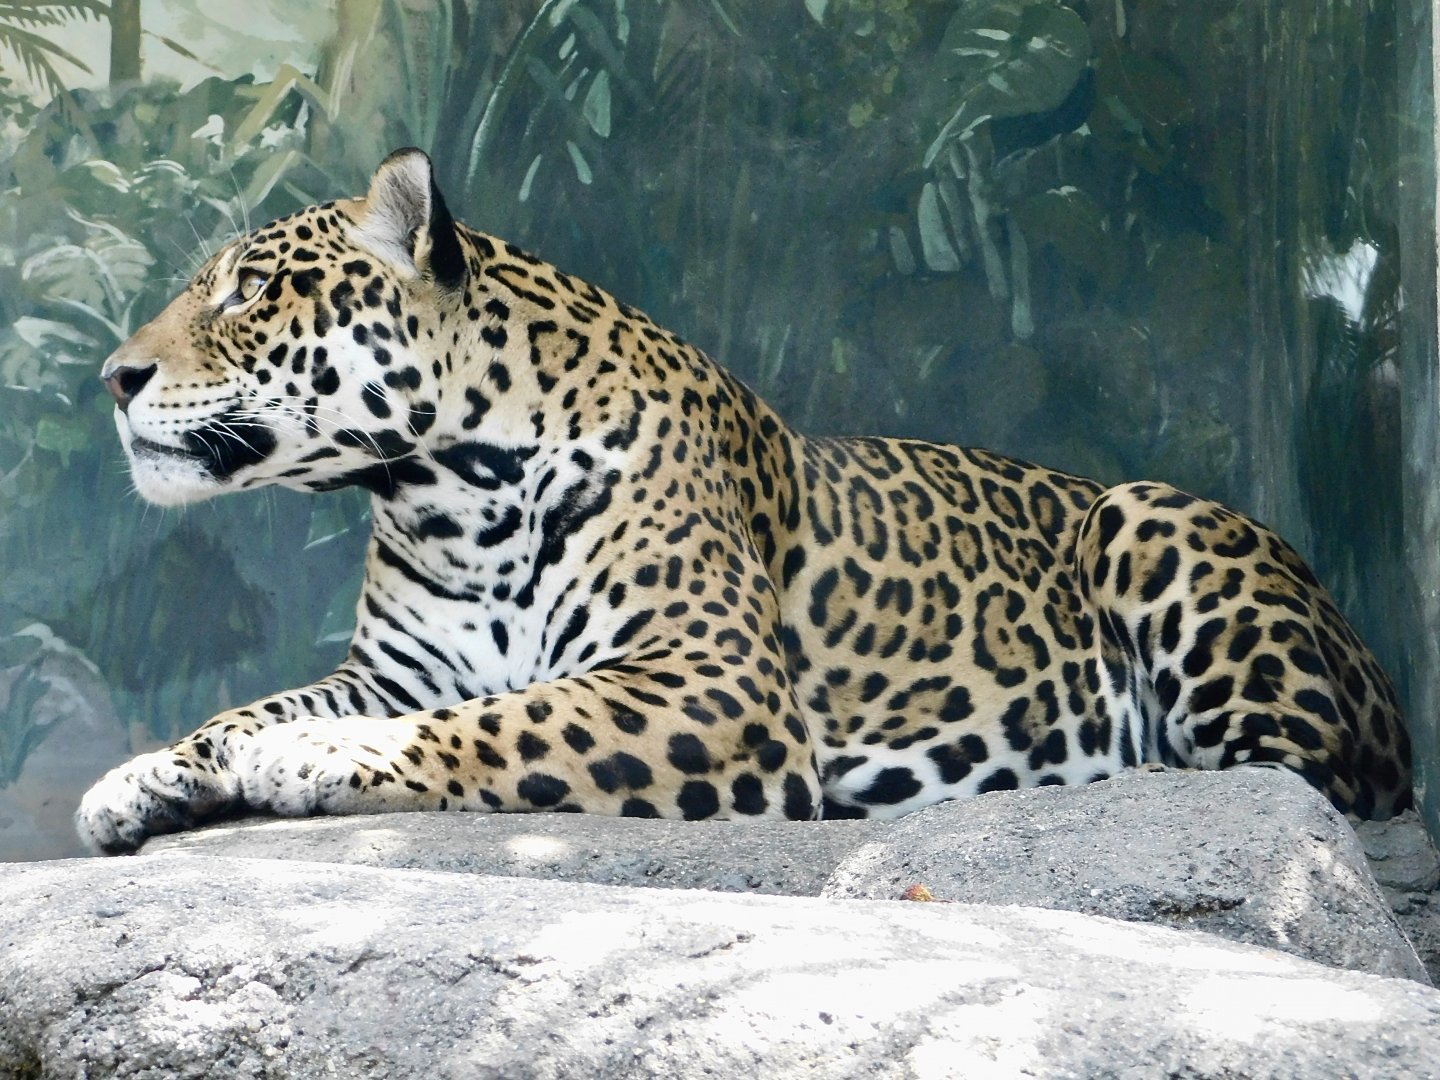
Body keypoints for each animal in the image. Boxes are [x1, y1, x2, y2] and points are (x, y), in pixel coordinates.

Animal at [75, 148, 1411, 855]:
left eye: (252, 290)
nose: (113, 377)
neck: (445, 490)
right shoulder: (396, 670)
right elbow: (248, 707)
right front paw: (144, 776)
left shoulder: (709, 679)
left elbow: (499, 723)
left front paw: (308, 758)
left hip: (1153, 522)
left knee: (1295, 781)